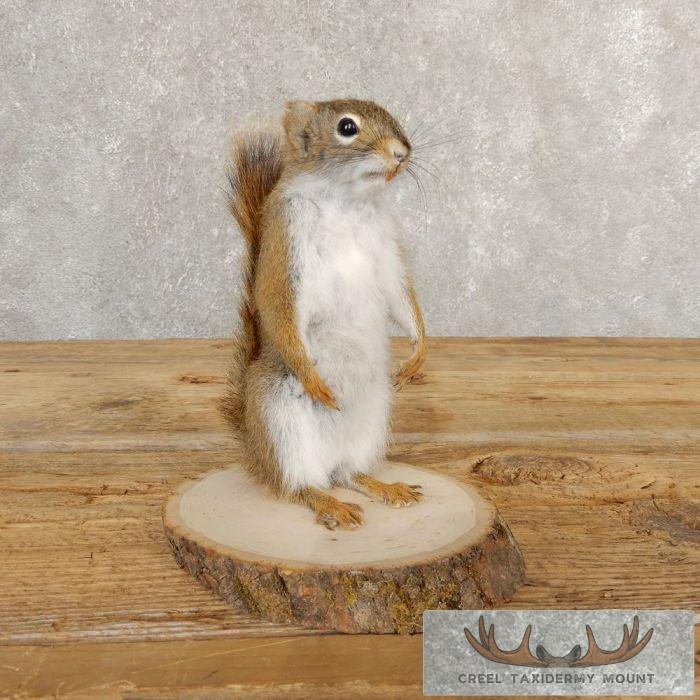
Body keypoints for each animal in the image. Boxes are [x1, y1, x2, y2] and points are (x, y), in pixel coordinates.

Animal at [222, 99, 426, 530]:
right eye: (347, 127)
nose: (402, 153)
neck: (345, 201)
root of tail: (254, 450)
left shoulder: (386, 251)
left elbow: (402, 297)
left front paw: (418, 354)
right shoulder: (285, 243)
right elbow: (276, 303)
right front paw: (316, 381)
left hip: (372, 421)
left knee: (348, 474)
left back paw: (385, 486)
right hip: (281, 424)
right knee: (299, 485)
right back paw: (328, 502)